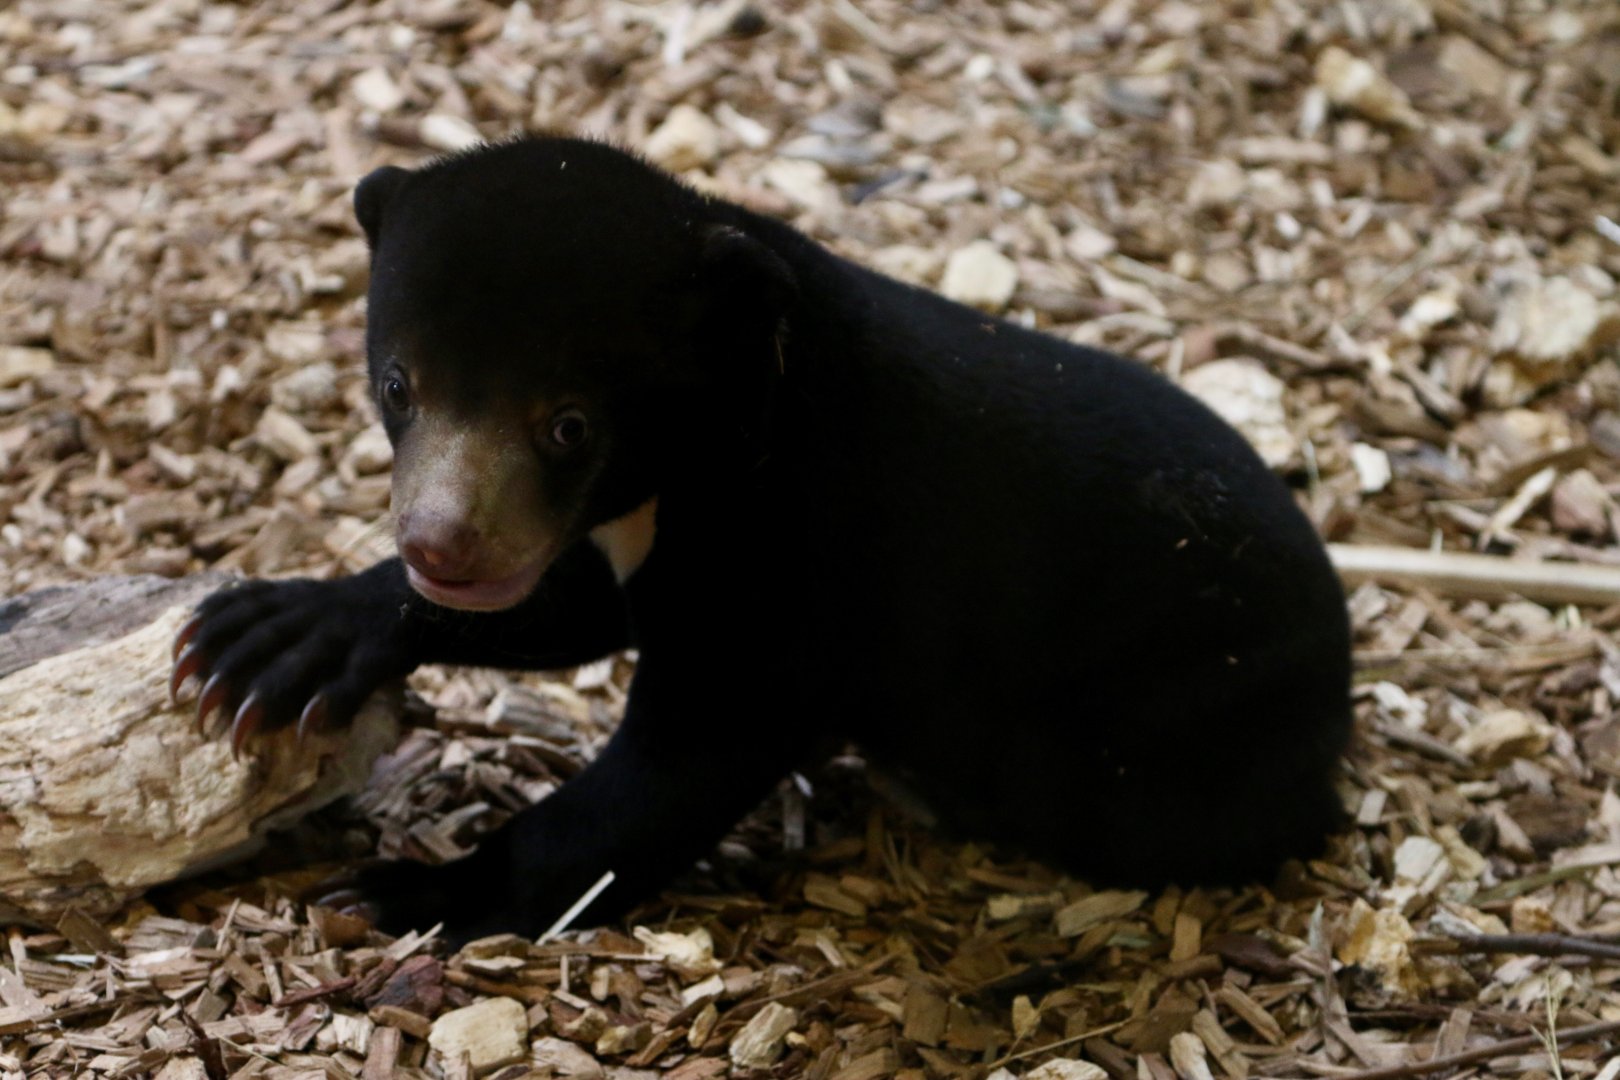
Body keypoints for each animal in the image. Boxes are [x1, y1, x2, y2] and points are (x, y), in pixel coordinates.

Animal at [171, 135, 1351, 943]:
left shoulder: (804, 544)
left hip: (1174, 732)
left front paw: (409, 891)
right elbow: (573, 609)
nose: (442, 550)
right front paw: (270, 639)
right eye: (398, 386)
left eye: (569, 424)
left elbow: (673, 769)